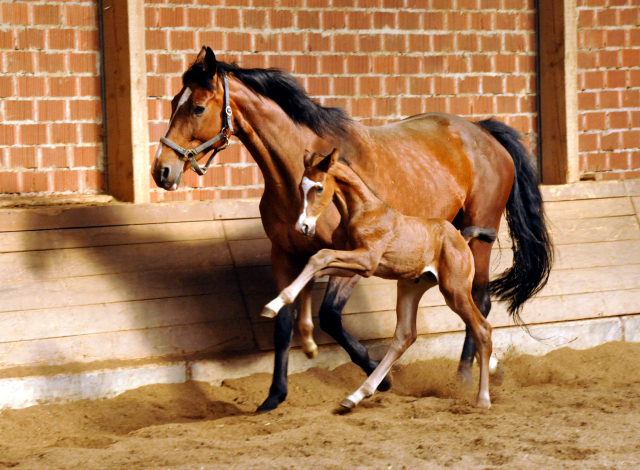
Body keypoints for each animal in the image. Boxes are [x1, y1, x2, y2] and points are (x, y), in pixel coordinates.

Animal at [262, 150, 498, 408]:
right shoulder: (353, 266)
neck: (361, 211)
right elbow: (315, 267)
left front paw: (273, 305)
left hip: (455, 291)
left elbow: (319, 257)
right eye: (300, 186)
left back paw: (483, 398)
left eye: (319, 187)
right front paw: (308, 343)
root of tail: (463, 238)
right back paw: (356, 395)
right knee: (404, 336)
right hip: (410, 288)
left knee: (482, 329)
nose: (303, 226)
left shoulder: (367, 261)